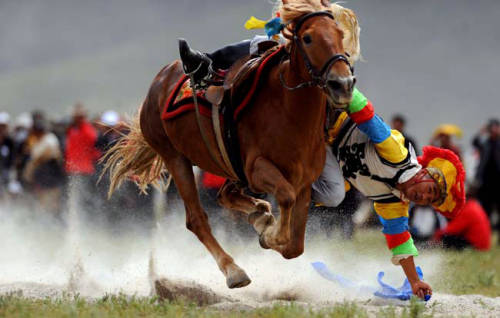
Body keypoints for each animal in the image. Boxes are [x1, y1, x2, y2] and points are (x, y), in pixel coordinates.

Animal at [105, 0, 354, 288]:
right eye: (308, 38)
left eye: (340, 34)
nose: (343, 84)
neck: (287, 111)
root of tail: (160, 79)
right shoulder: (257, 169)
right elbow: (284, 200)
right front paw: (269, 234)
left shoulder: (304, 182)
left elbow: (294, 247)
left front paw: (266, 226)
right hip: (175, 158)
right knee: (197, 219)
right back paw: (234, 270)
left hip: (226, 165)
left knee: (226, 196)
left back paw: (259, 214)